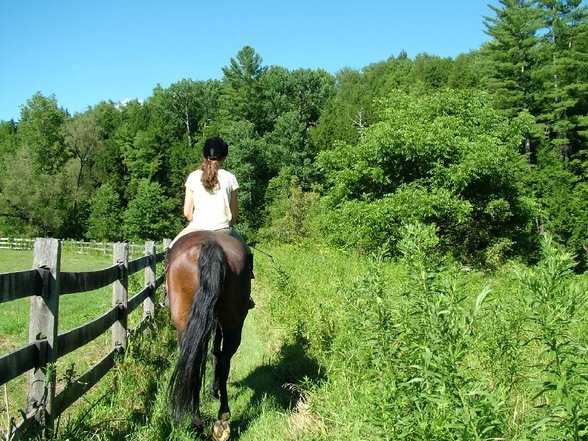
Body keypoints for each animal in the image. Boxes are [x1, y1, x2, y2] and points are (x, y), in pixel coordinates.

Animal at [165, 229, 250, 438]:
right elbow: (215, 355)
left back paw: (202, 421)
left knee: (200, 363)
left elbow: (213, 355)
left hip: (187, 325)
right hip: (232, 324)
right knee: (220, 361)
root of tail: (211, 244)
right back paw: (220, 417)